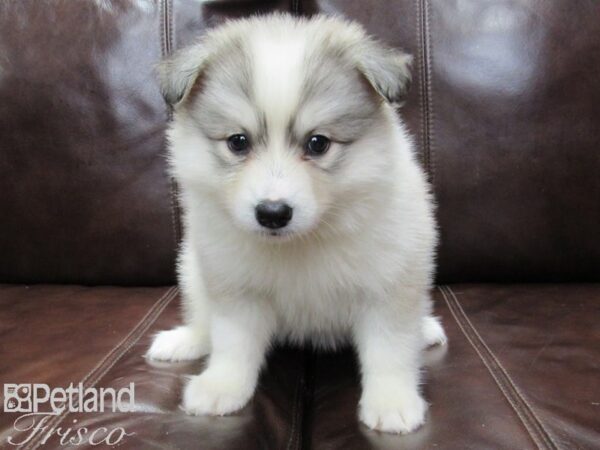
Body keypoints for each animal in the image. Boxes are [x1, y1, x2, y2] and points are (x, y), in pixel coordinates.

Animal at [146, 14, 446, 434]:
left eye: (318, 143)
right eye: (238, 142)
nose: (273, 213)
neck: (301, 241)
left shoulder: (389, 284)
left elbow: (389, 349)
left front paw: (391, 401)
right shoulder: (236, 287)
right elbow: (233, 342)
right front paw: (222, 386)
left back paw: (426, 330)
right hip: (191, 269)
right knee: (204, 320)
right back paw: (184, 341)